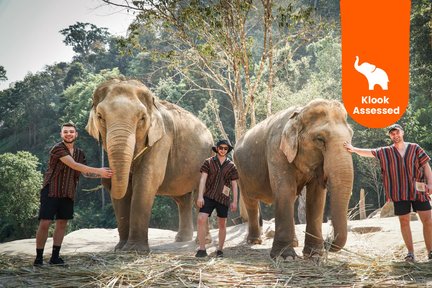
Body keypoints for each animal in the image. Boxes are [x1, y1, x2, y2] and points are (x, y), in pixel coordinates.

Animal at [85, 78, 213, 252]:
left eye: (142, 118)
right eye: (100, 116)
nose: (105, 177)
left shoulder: (162, 139)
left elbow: (146, 180)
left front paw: (134, 249)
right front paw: (120, 248)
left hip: (207, 158)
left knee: (199, 196)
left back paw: (202, 241)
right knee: (182, 199)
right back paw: (182, 239)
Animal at [235, 98, 352, 258]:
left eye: (351, 136)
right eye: (320, 139)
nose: (328, 240)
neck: (299, 113)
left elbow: (315, 197)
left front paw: (315, 254)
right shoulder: (276, 149)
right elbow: (285, 190)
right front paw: (285, 256)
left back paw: (295, 243)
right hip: (241, 172)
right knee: (250, 201)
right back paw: (254, 242)